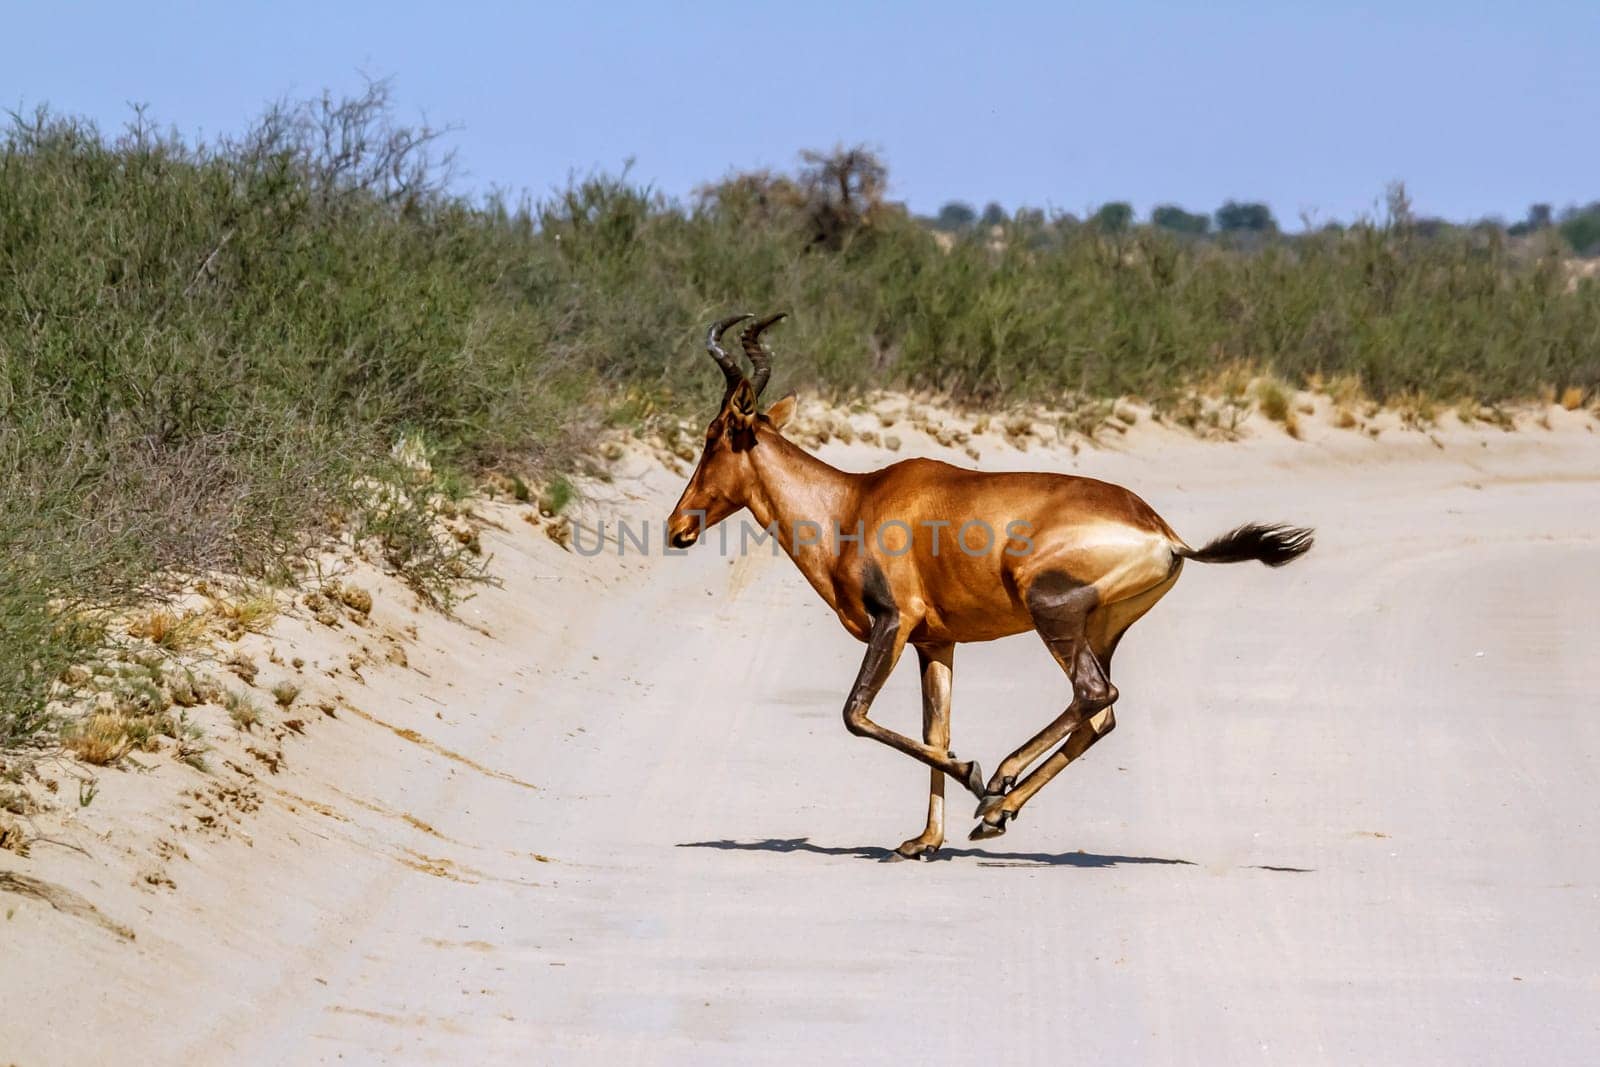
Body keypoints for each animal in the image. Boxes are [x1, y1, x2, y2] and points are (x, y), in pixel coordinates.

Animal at [662, 315, 1312, 857]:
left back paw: (997, 783)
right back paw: (996, 813)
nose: (677, 528)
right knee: (1098, 714)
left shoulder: (893, 623)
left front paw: (972, 775)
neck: (855, 502)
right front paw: (922, 841)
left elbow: (857, 715)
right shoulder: (935, 643)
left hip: (1052, 612)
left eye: (715, 435)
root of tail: (1166, 534)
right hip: (1102, 628)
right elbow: (936, 729)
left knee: (1095, 695)